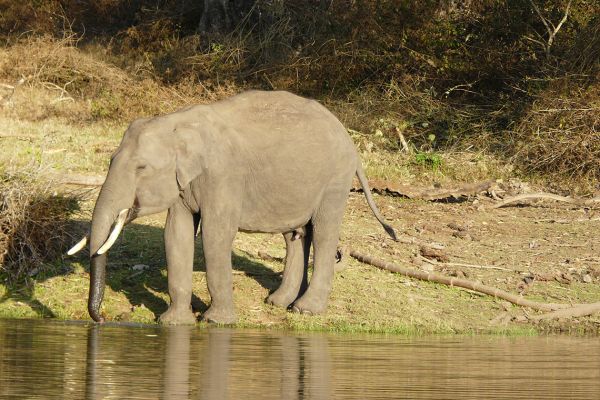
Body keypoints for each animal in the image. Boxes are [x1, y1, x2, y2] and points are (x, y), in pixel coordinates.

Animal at [68, 90, 396, 324]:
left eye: (141, 168)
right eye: (111, 160)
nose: (101, 318)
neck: (177, 123)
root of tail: (349, 139)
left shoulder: (223, 176)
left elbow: (215, 235)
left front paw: (216, 322)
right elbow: (176, 234)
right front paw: (173, 323)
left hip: (335, 179)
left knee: (325, 232)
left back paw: (304, 310)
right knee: (297, 235)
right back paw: (278, 302)